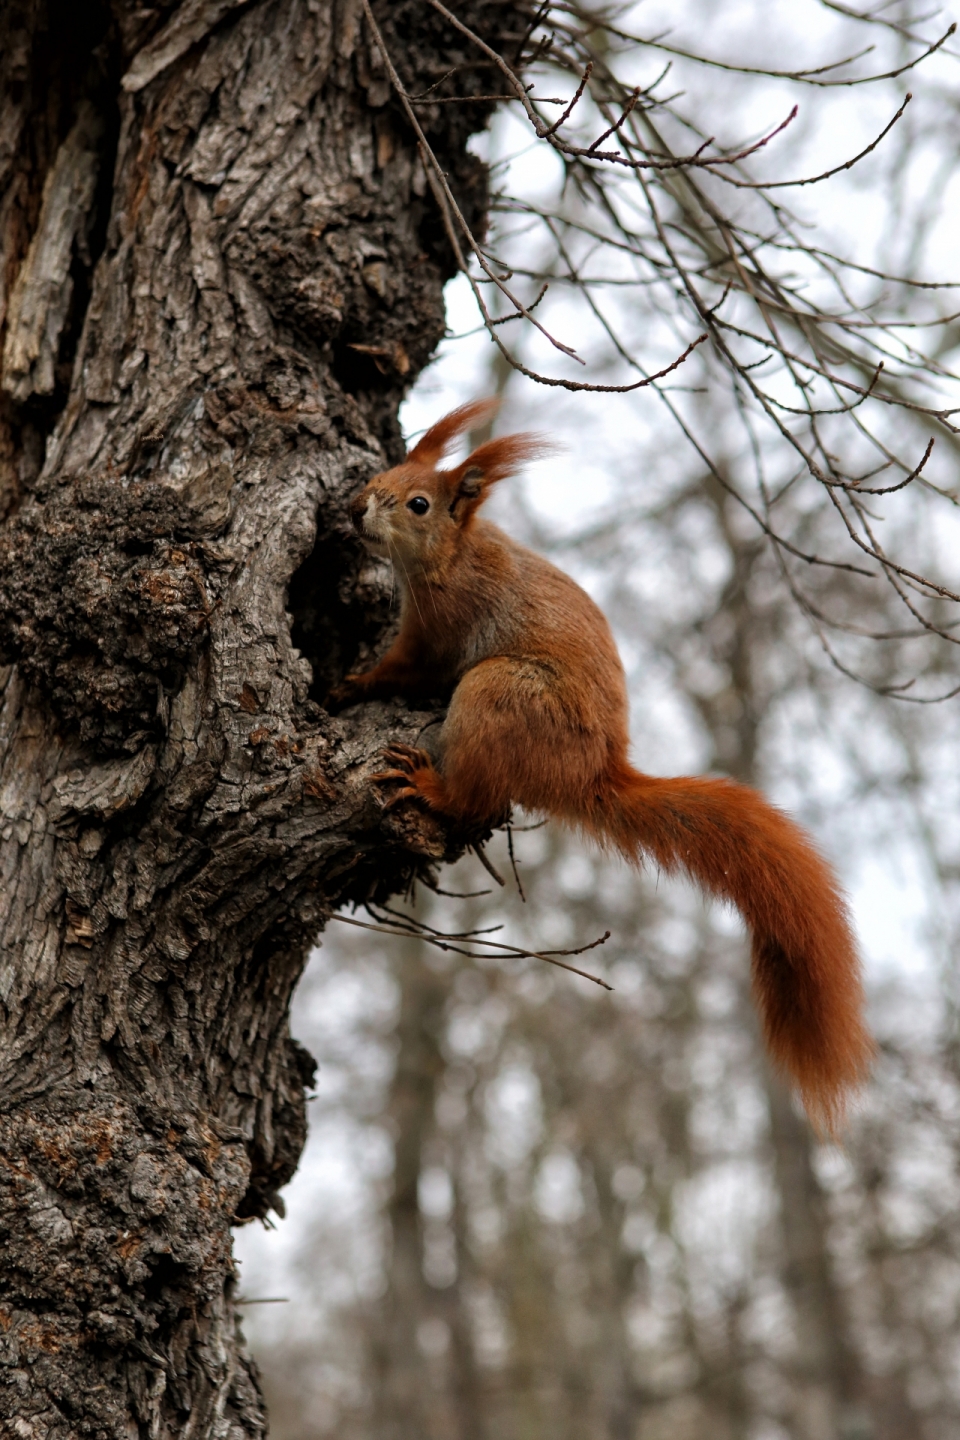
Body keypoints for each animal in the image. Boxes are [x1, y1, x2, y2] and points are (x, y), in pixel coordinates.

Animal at [332, 400, 880, 1128]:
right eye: (384, 472)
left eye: (419, 503)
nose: (356, 507)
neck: (456, 554)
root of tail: (589, 774)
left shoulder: (439, 632)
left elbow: (405, 668)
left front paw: (352, 683)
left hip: (496, 692)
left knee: (474, 797)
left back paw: (427, 784)